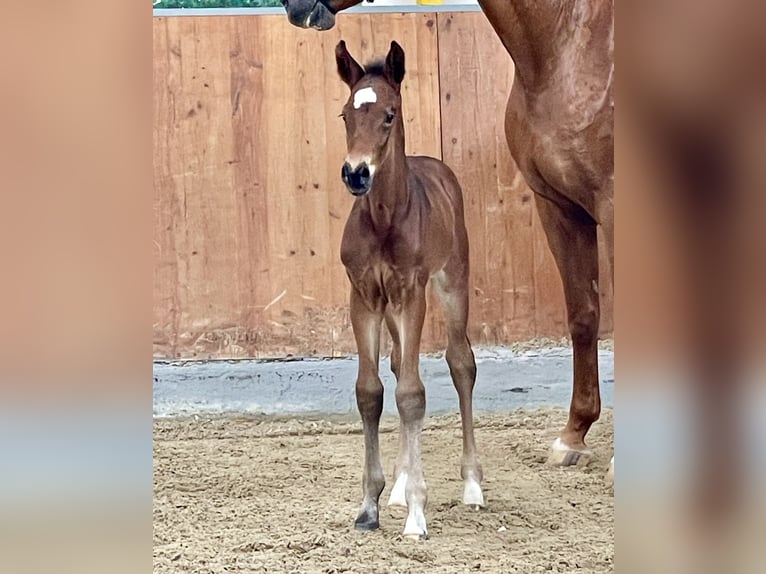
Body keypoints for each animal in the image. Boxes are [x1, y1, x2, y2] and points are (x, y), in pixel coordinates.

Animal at [284, 1, 616, 472]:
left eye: (389, 116)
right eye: (345, 116)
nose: (293, 7)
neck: (566, 51)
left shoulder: (613, 204)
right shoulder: (558, 206)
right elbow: (583, 316)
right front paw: (573, 436)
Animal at [338, 40, 486, 540]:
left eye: (389, 114)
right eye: (345, 113)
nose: (356, 174)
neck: (384, 219)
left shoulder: (412, 294)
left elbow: (412, 395)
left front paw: (417, 515)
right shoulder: (364, 297)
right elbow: (371, 391)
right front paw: (370, 505)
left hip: (452, 282)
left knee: (461, 363)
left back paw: (472, 487)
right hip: (392, 310)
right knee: (399, 362)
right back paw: (401, 487)